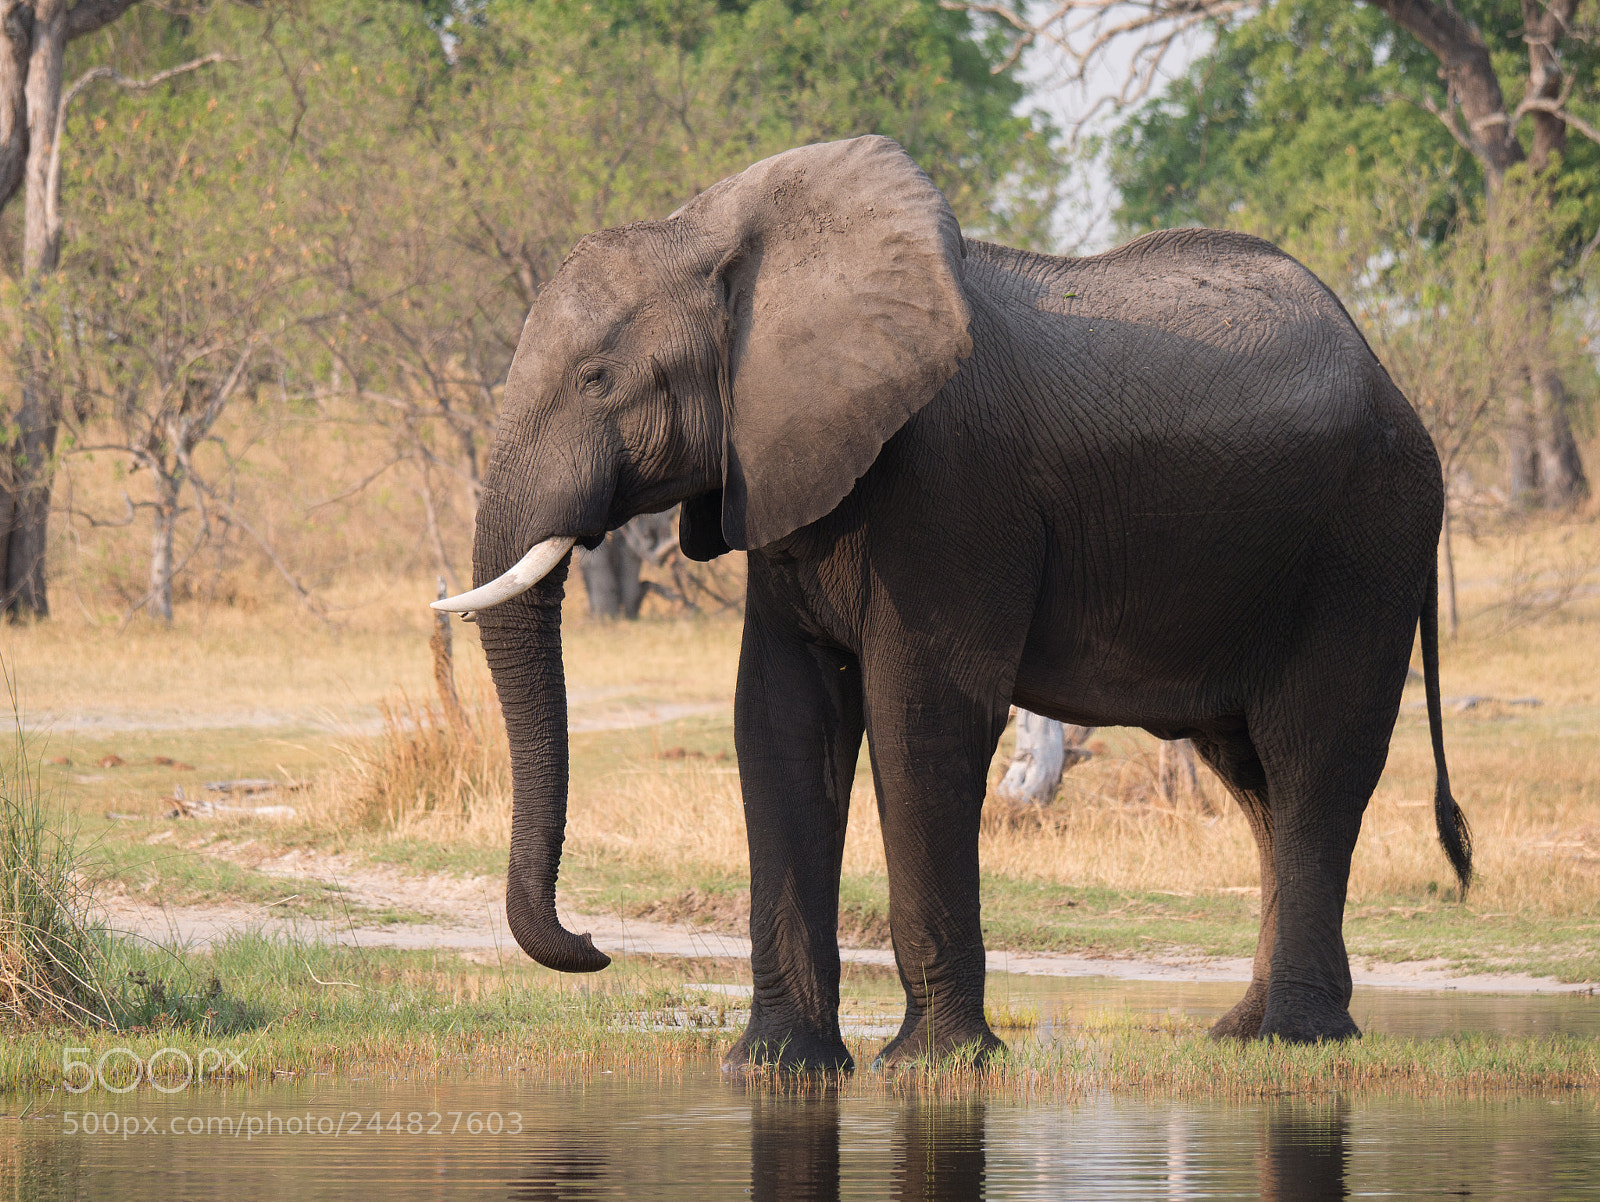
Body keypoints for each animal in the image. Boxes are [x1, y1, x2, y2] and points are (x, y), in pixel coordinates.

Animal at [434, 135, 1471, 1069]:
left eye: (597, 379)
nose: (595, 947)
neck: (730, 241)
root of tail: (1396, 389)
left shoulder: (951, 489)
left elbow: (921, 722)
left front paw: (932, 1067)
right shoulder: (782, 470)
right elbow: (779, 720)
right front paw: (773, 1067)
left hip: (1363, 543)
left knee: (1312, 759)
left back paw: (1300, 1040)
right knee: (1253, 777)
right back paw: (1245, 1033)